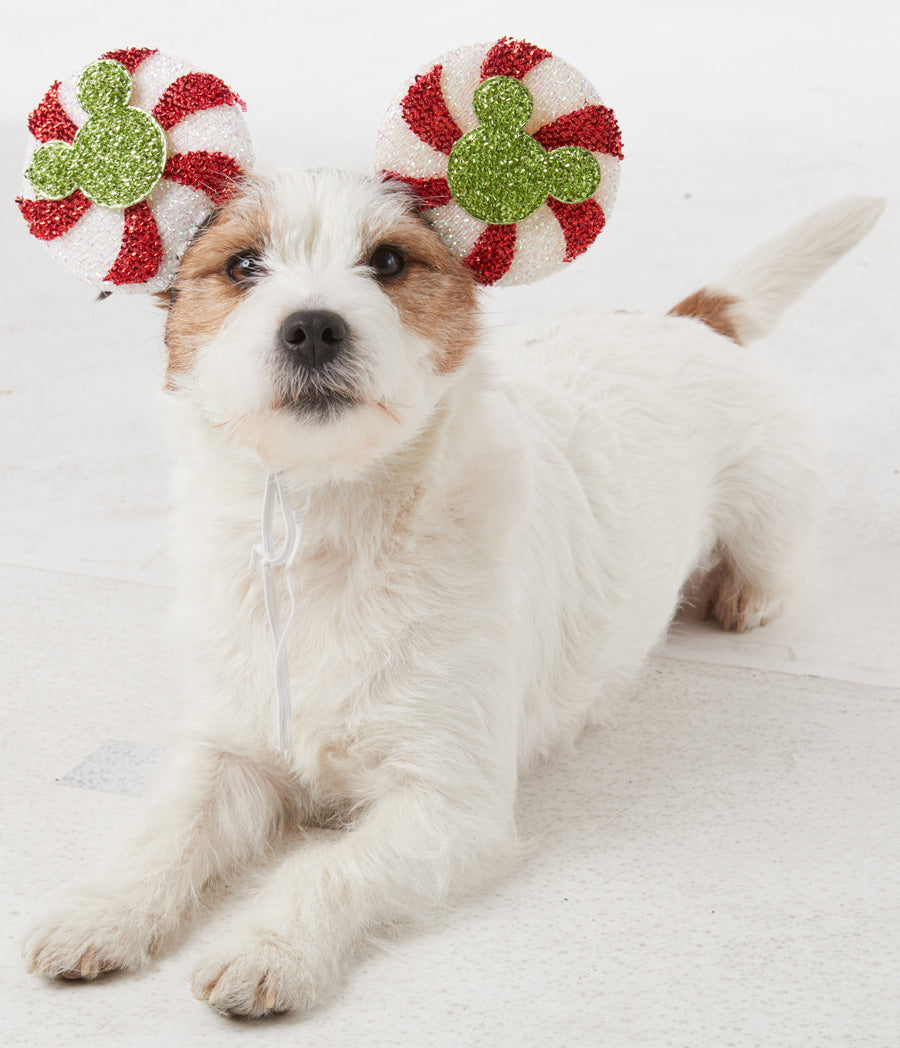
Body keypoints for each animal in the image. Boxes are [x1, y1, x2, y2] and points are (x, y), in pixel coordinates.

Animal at [22, 169, 888, 1014]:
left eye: (389, 261)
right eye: (241, 266)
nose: (313, 327)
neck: (329, 527)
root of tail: (686, 322)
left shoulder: (449, 806)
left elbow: (326, 868)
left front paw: (271, 947)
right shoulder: (227, 749)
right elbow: (163, 831)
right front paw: (101, 910)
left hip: (772, 503)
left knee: (773, 559)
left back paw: (744, 592)